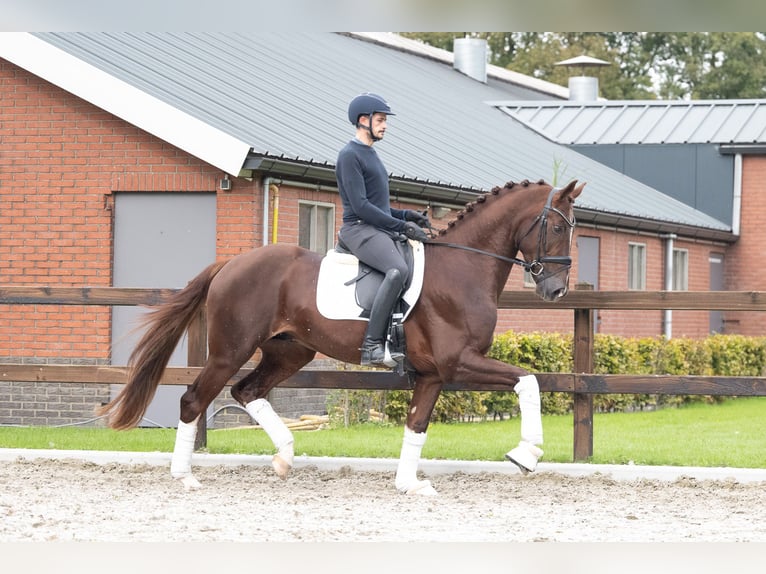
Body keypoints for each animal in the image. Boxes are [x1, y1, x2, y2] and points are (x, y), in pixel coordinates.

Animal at [99, 179, 584, 496]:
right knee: (195, 399)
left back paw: (285, 456)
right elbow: (529, 381)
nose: (556, 291)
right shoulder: (458, 362)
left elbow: (416, 425)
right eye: (560, 227)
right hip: (230, 350)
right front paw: (527, 454)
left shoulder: (433, 375)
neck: (463, 269)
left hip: (290, 352)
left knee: (246, 391)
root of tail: (231, 263)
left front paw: (409, 484)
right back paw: (185, 475)